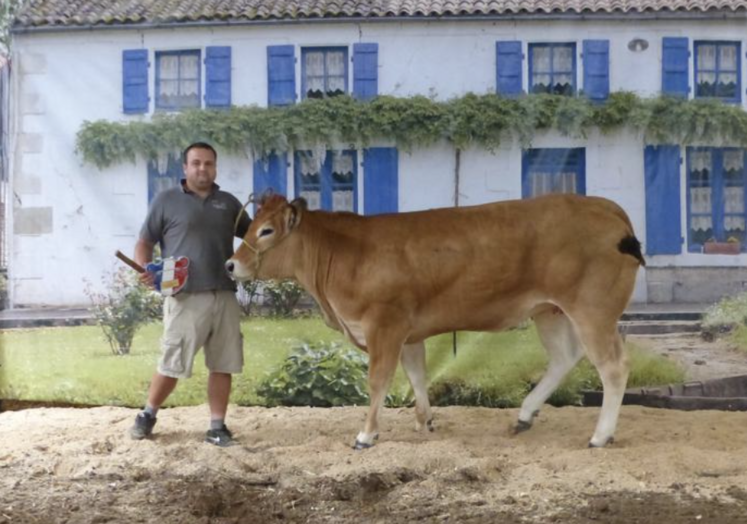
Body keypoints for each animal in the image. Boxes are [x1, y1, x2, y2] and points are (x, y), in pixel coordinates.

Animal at [225, 194, 644, 448]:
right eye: (250, 225)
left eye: (266, 230)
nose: (230, 265)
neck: (345, 255)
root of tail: (607, 208)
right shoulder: (409, 332)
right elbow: (416, 375)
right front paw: (424, 421)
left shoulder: (385, 324)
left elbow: (378, 380)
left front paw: (366, 435)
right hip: (549, 310)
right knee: (564, 358)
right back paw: (525, 415)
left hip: (593, 310)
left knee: (613, 366)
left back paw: (600, 436)